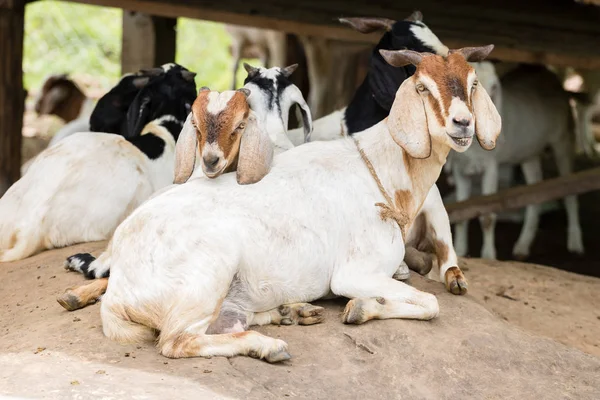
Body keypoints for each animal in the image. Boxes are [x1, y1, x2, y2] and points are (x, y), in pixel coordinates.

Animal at [452, 61, 584, 260]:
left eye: (494, 86)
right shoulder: (460, 170)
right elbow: (461, 214)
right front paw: (459, 251)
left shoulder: (491, 166)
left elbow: (487, 216)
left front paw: (488, 256)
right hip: (529, 154)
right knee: (536, 194)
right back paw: (523, 245)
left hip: (563, 139)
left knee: (569, 192)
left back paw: (575, 242)